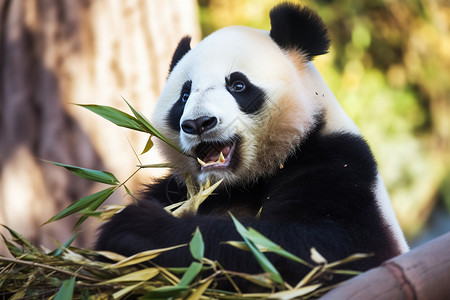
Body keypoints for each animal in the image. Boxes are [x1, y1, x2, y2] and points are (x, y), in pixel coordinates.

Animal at [96, 1, 410, 288]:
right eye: (184, 95)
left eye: (238, 85)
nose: (198, 123)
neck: (240, 183)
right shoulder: (177, 188)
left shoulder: (339, 164)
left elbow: (317, 249)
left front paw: (137, 228)